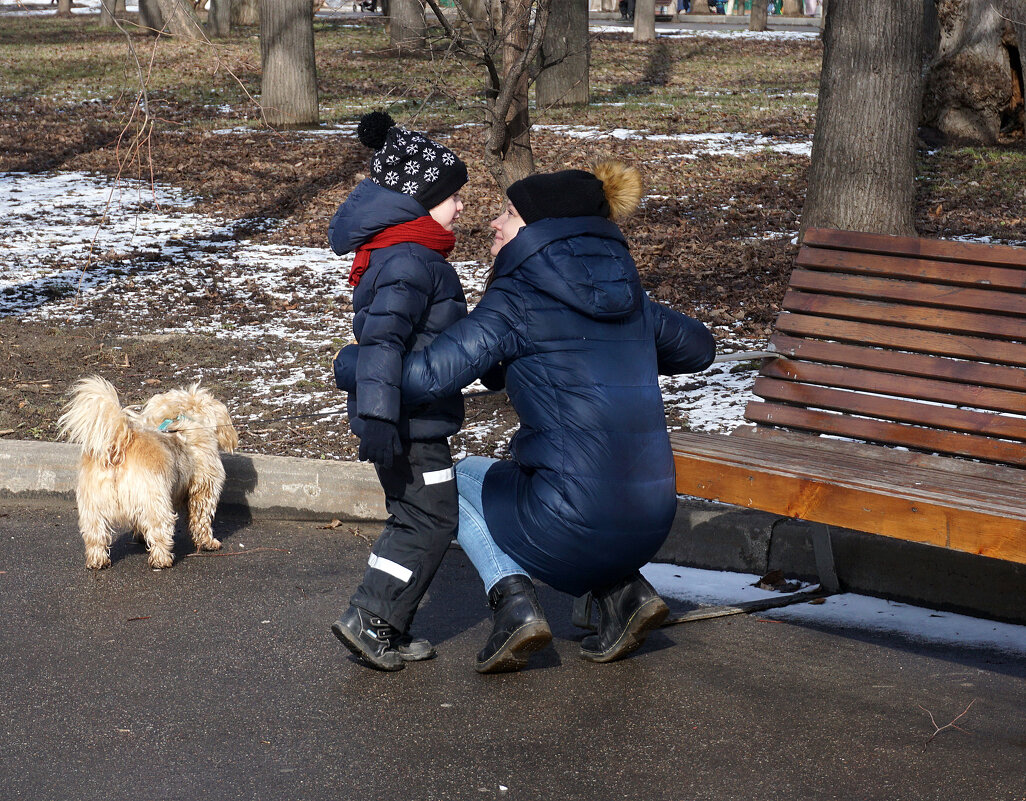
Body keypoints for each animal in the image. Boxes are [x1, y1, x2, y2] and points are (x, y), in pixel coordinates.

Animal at [58, 375, 238, 570]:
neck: (184, 422)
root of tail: (118, 446)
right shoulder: (204, 491)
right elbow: (201, 520)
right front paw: (208, 542)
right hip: (155, 501)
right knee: (160, 530)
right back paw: (162, 560)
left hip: (93, 507)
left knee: (95, 535)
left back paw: (97, 561)